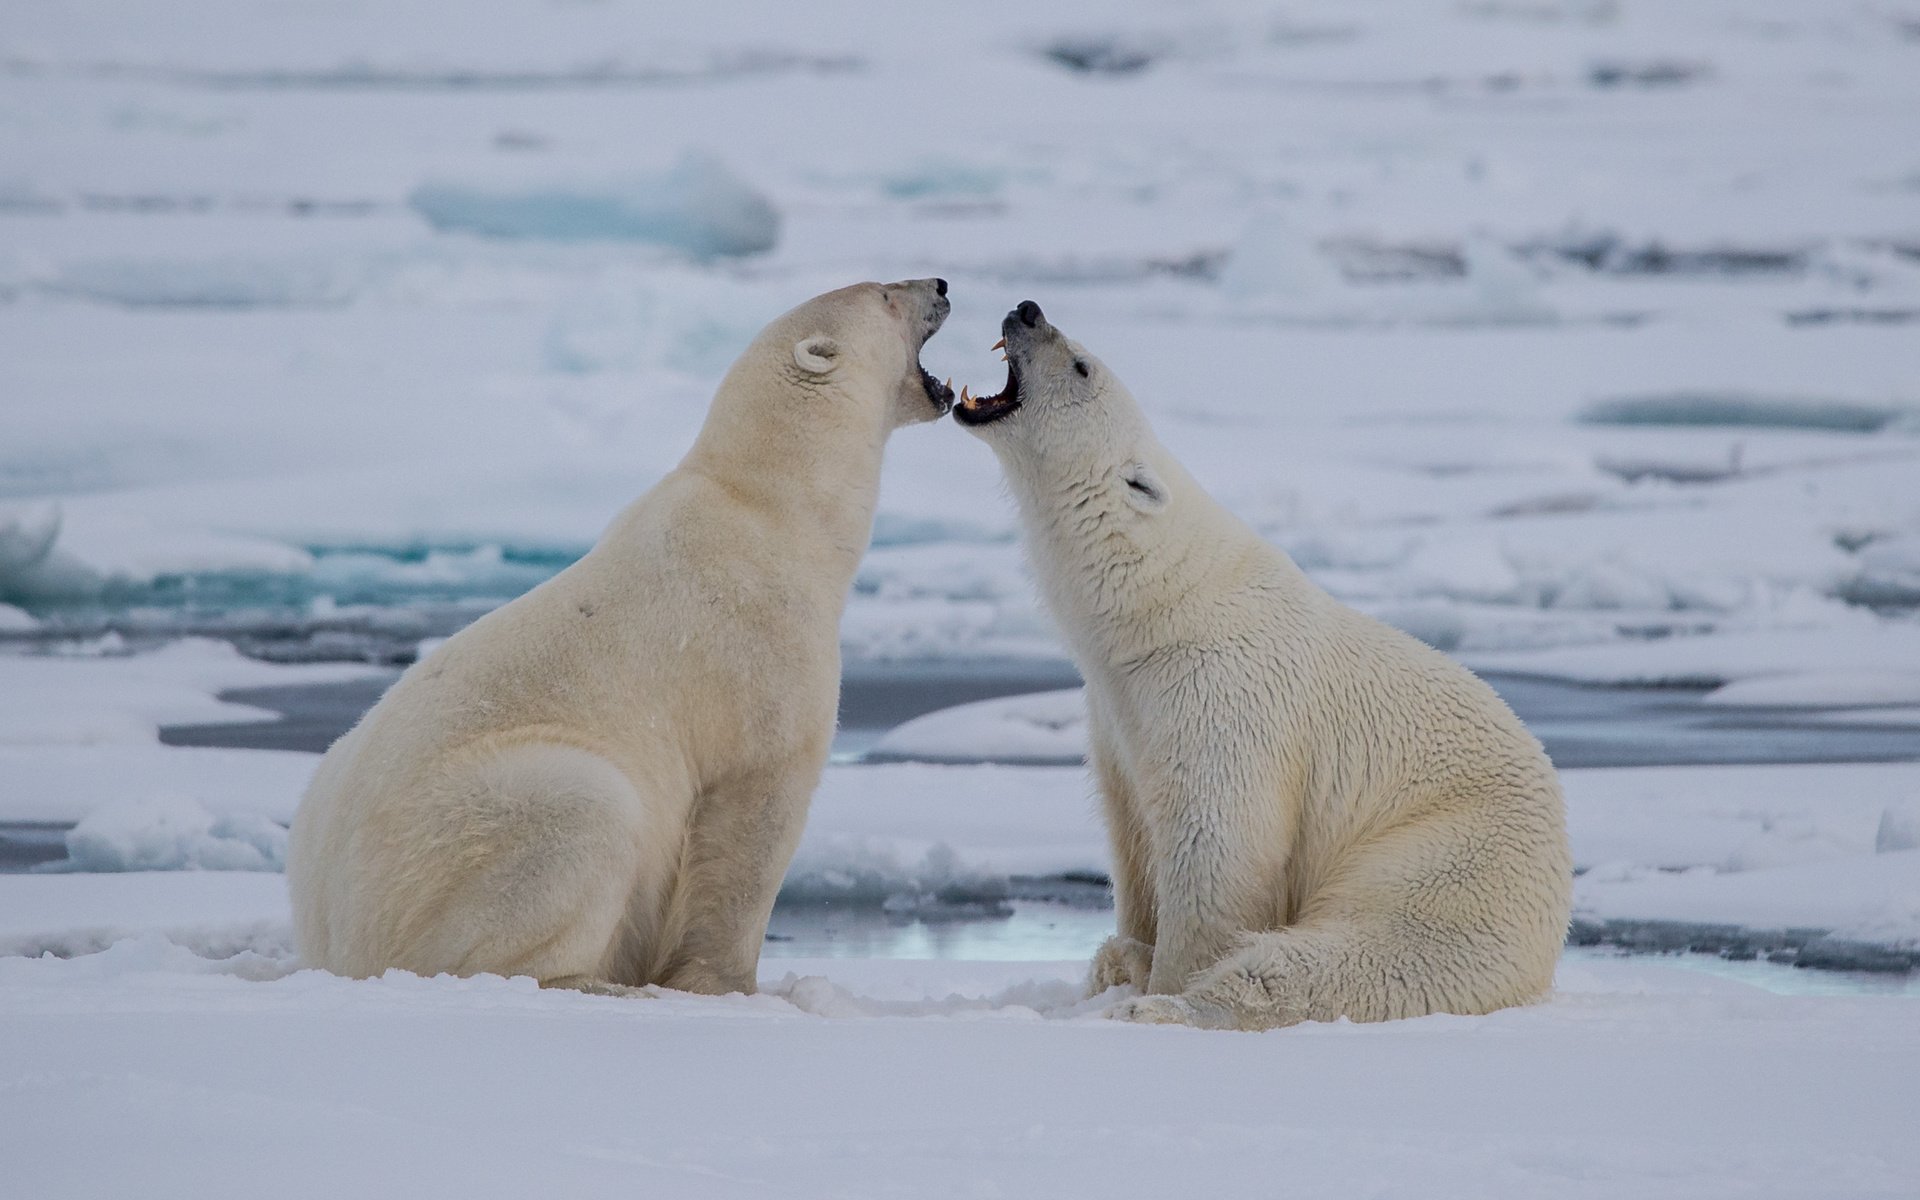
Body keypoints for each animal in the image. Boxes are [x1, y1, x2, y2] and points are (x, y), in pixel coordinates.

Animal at [289, 278, 952, 990]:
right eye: (885, 294)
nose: (940, 285)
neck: (772, 509)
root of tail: (336, 940)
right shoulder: (762, 646)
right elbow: (754, 813)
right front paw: (732, 985)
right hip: (466, 834)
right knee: (585, 817)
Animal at [952, 299, 1566, 1029]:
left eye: (1080, 364)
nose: (1027, 309)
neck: (1162, 605)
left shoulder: (1224, 694)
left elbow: (1218, 846)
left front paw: (1160, 980)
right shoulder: (1115, 711)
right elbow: (1131, 838)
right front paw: (1129, 953)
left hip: (1447, 868)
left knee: (1339, 962)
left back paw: (1165, 1009)